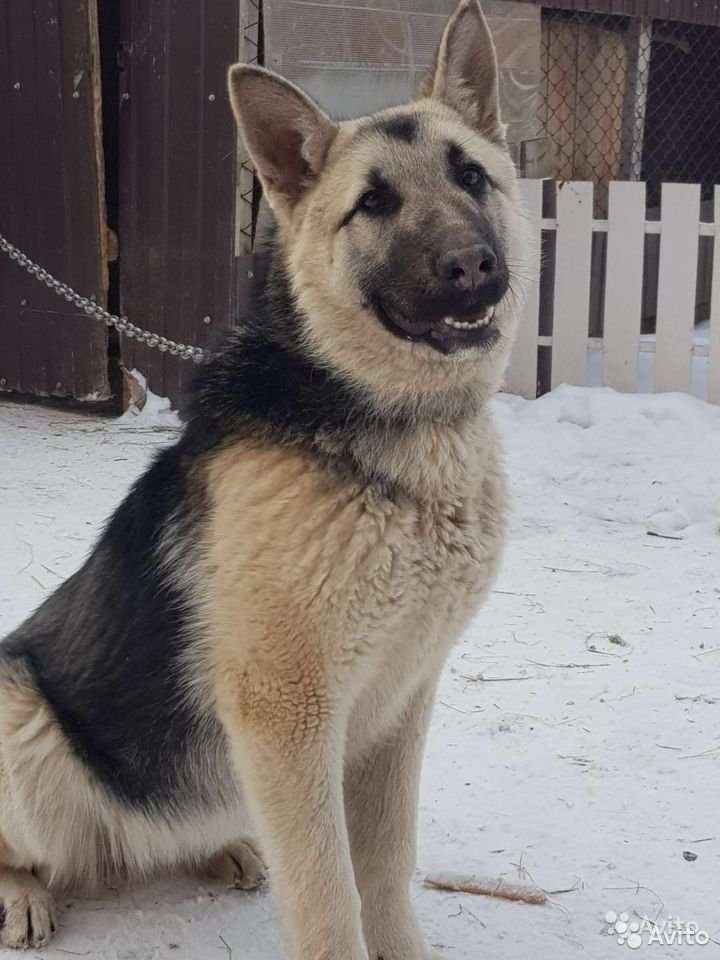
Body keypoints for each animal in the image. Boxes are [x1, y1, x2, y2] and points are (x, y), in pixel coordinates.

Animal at [0, 3, 528, 956]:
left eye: (471, 176)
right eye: (373, 204)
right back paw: (22, 893)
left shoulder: (400, 705)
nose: (471, 265)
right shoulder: (290, 714)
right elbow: (328, 894)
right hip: (23, 723)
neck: (391, 427)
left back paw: (223, 849)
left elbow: (385, 867)